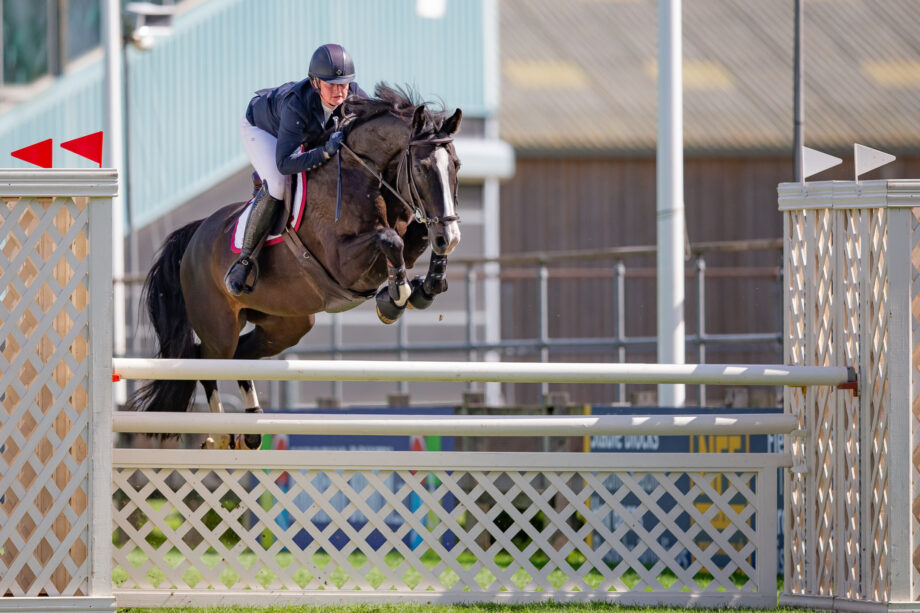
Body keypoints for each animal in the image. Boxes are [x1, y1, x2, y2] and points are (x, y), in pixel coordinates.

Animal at [126, 83, 464, 448]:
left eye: (456, 166)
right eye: (422, 169)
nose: (451, 236)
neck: (364, 176)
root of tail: (195, 236)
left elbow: (415, 240)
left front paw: (424, 288)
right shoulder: (343, 263)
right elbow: (391, 241)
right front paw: (395, 297)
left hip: (287, 324)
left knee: (240, 357)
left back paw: (251, 428)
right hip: (219, 325)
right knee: (207, 361)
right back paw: (220, 435)